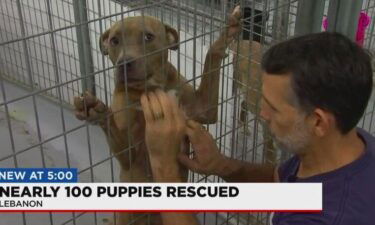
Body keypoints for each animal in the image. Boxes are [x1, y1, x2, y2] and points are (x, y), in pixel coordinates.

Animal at [75, 5, 242, 225]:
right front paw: (95, 108)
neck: (150, 86)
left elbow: (211, 58)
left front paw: (225, 34)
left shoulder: (203, 108)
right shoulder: (129, 155)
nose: (124, 63)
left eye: (148, 37)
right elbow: (118, 135)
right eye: (114, 41)